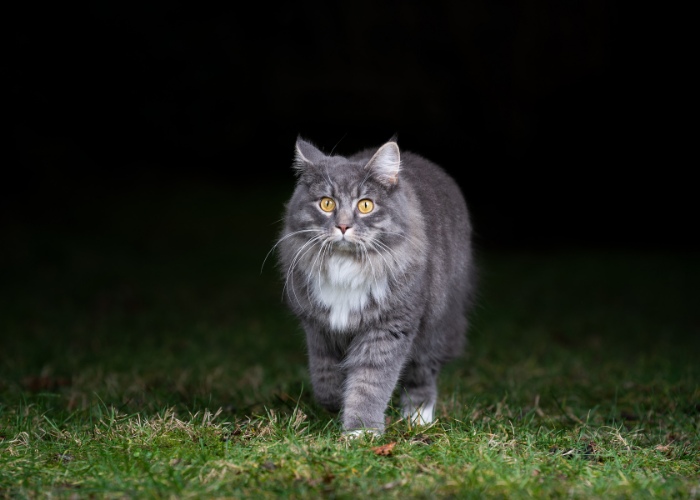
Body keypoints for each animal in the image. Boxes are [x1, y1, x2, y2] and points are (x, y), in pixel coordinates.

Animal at [276, 137, 474, 434]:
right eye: (326, 204)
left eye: (365, 206)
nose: (343, 226)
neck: (346, 266)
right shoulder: (318, 327)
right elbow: (325, 376)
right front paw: (336, 402)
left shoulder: (389, 327)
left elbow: (369, 383)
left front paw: (361, 430)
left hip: (435, 325)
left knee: (423, 372)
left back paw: (418, 417)